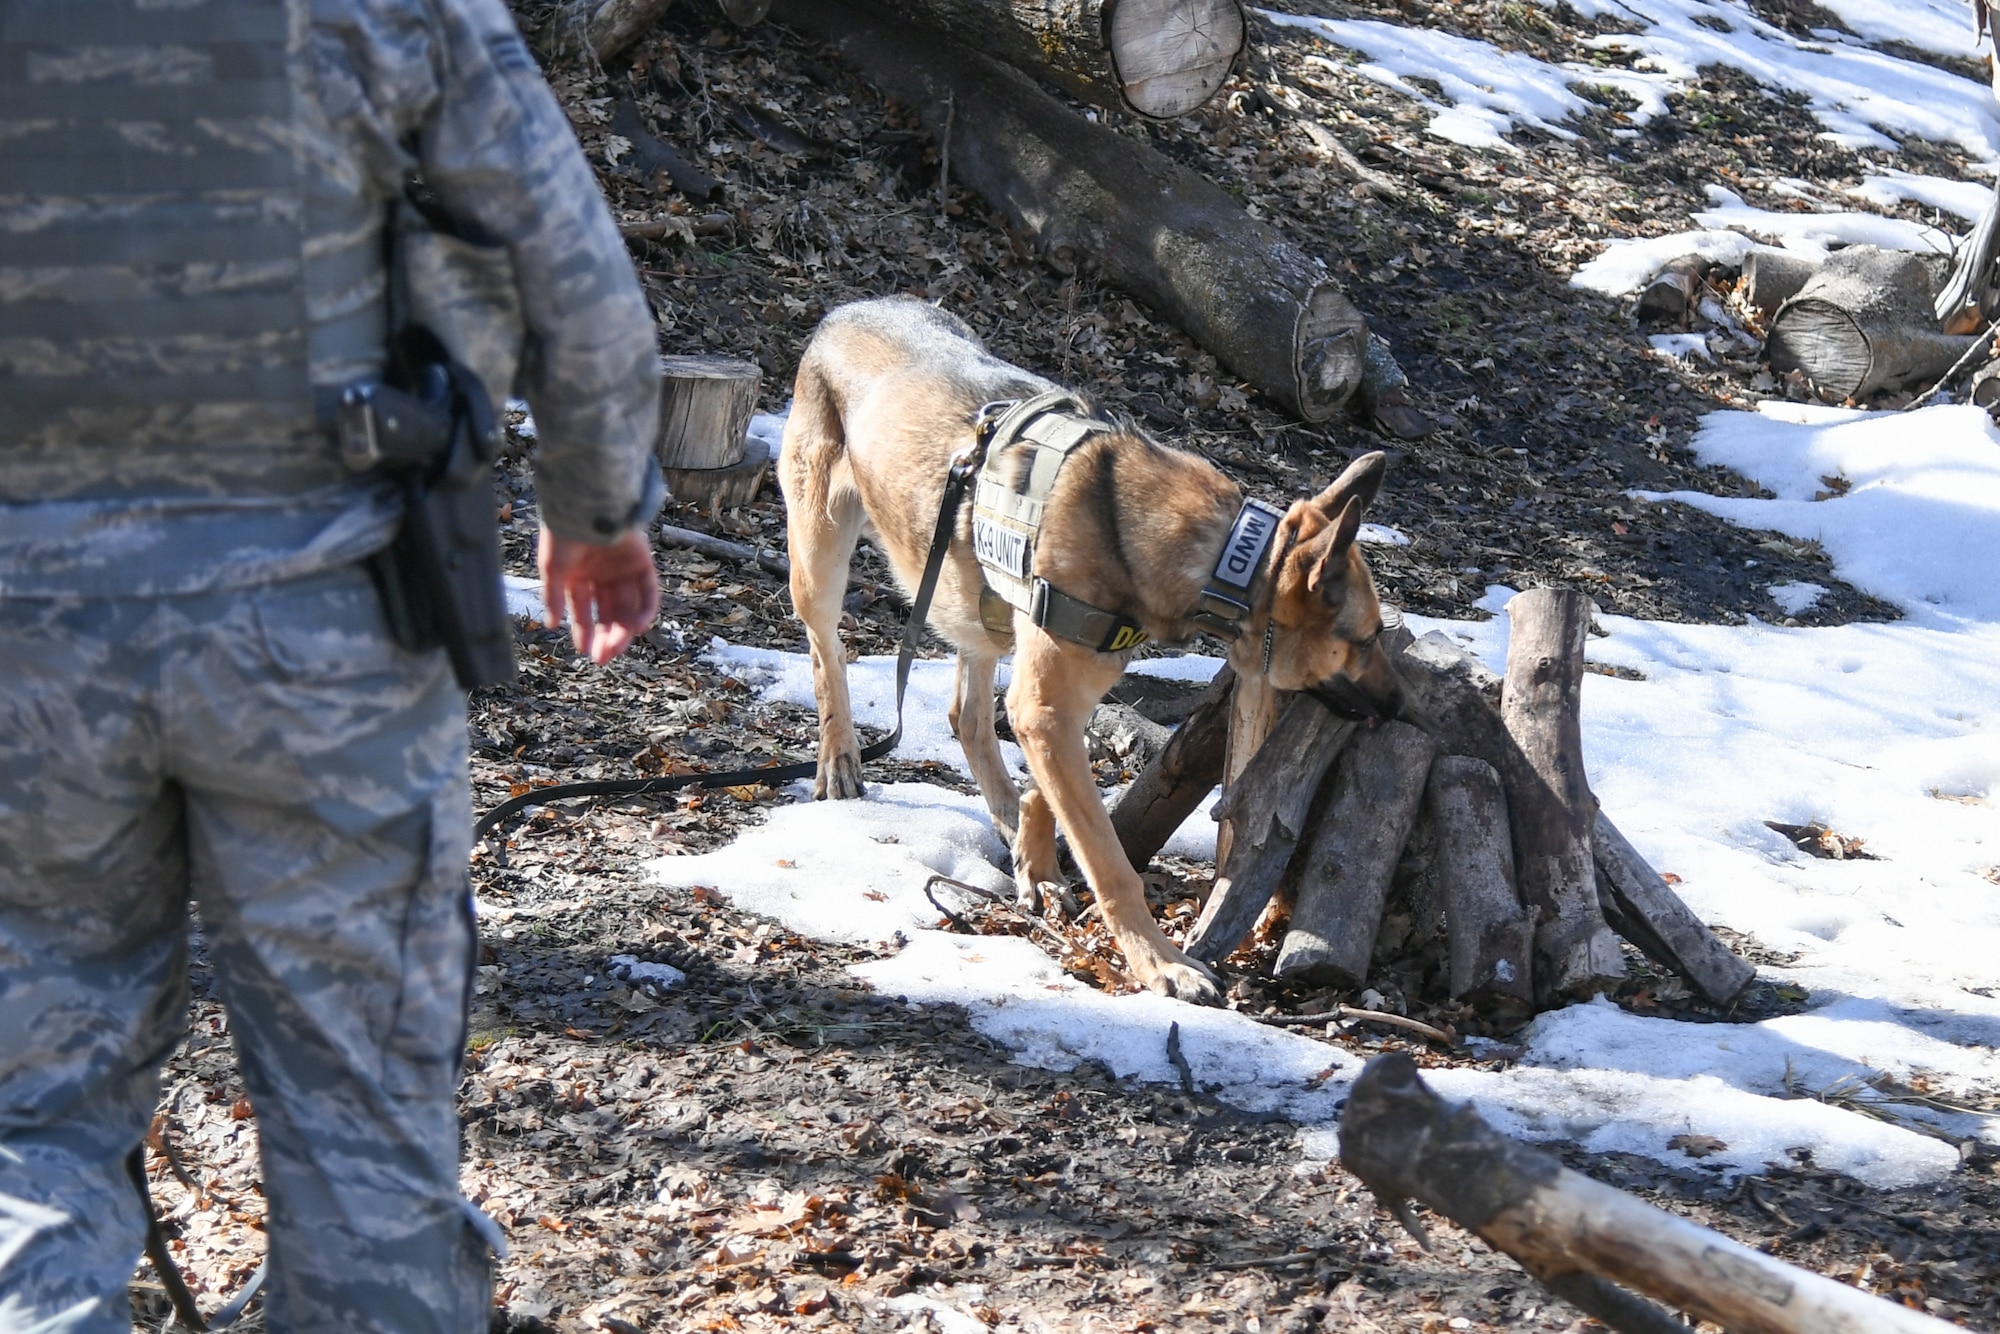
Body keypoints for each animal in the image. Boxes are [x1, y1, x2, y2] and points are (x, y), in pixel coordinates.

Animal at [772, 302, 1400, 1008]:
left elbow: (1049, 792)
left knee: (967, 715)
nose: (1404, 705)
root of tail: (842, 312)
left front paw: (1035, 861)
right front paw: (1160, 963)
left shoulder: (1055, 704)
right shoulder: (1047, 708)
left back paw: (1004, 816)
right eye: (1368, 638)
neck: (1219, 558)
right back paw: (840, 757)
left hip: (975, 604)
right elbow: (1108, 858)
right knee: (827, 654)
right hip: (821, 553)